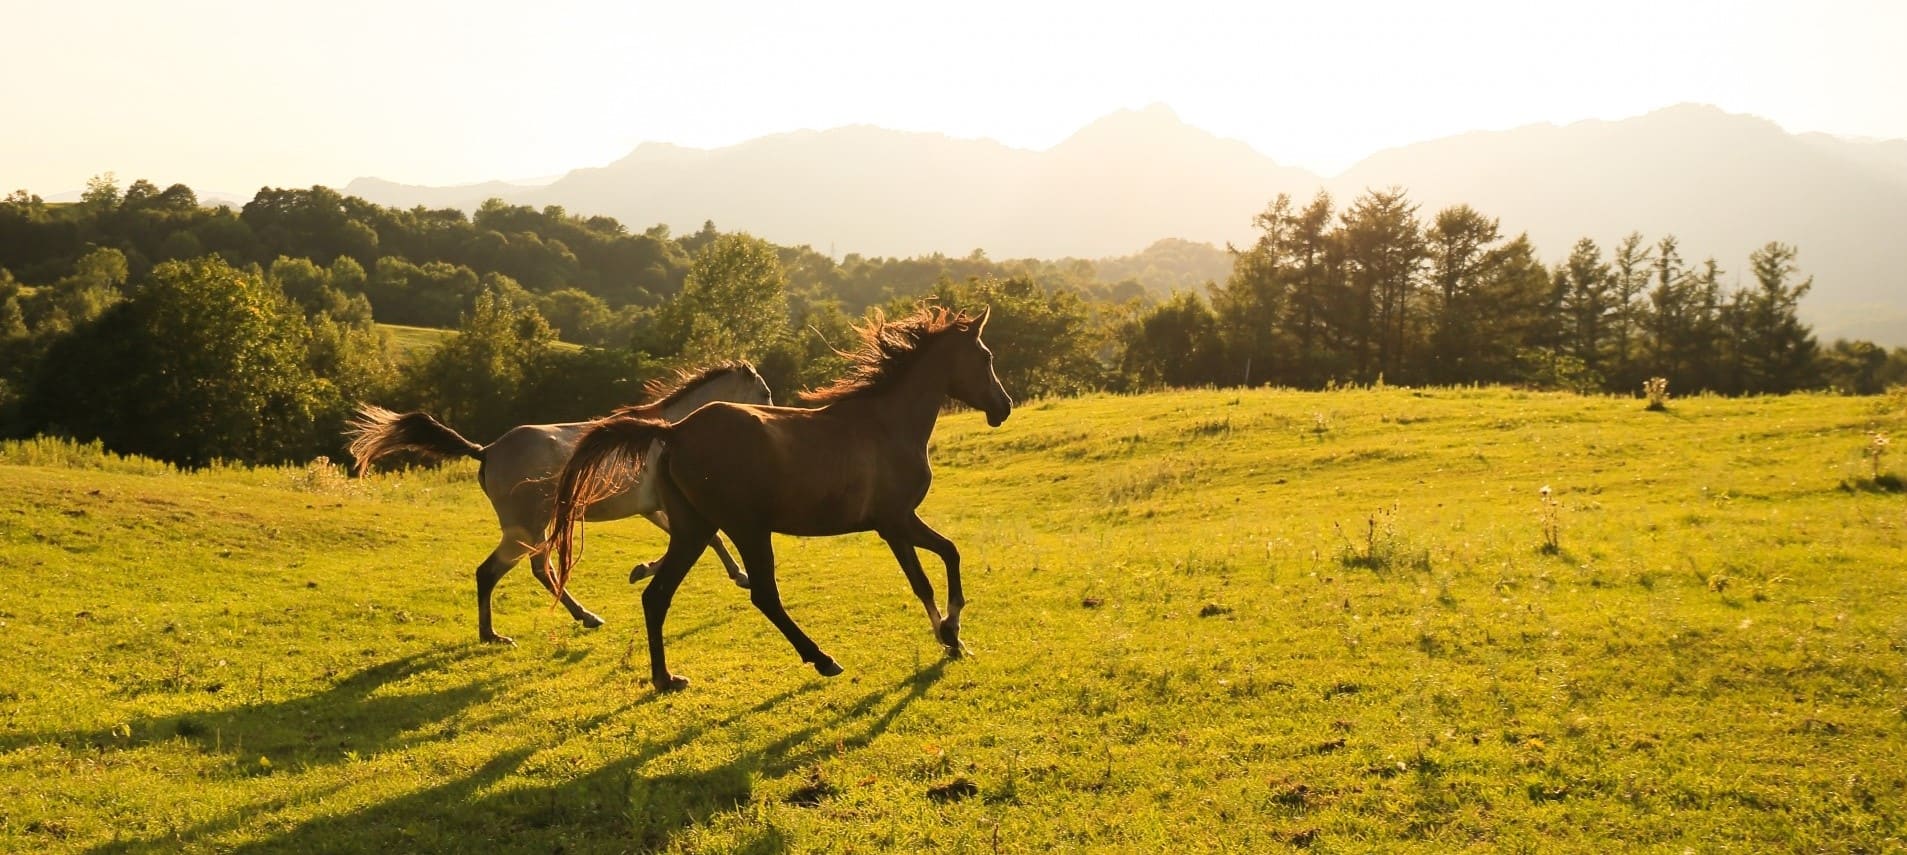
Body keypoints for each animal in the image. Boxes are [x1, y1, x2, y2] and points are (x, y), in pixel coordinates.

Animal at [347, 364, 770, 645]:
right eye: (764, 394)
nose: (771, 416)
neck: (666, 433)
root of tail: (486, 451)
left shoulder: (651, 509)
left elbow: (703, 541)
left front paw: (641, 569)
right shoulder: (666, 507)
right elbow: (711, 540)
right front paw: (740, 576)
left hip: (538, 527)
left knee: (539, 569)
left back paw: (580, 617)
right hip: (526, 529)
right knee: (494, 572)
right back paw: (498, 634)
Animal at [549, 307, 1014, 687]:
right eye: (987, 358)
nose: (1003, 407)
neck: (887, 424)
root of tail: (674, 430)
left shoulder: (895, 525)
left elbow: (936, 567)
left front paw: (952, 638)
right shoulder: (895, 521)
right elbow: (937, 567)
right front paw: (951, 632)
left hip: (694, 529)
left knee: (657, 595)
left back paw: (666, 678)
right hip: (746, 529)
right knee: (762, 594)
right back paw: (823, 659)